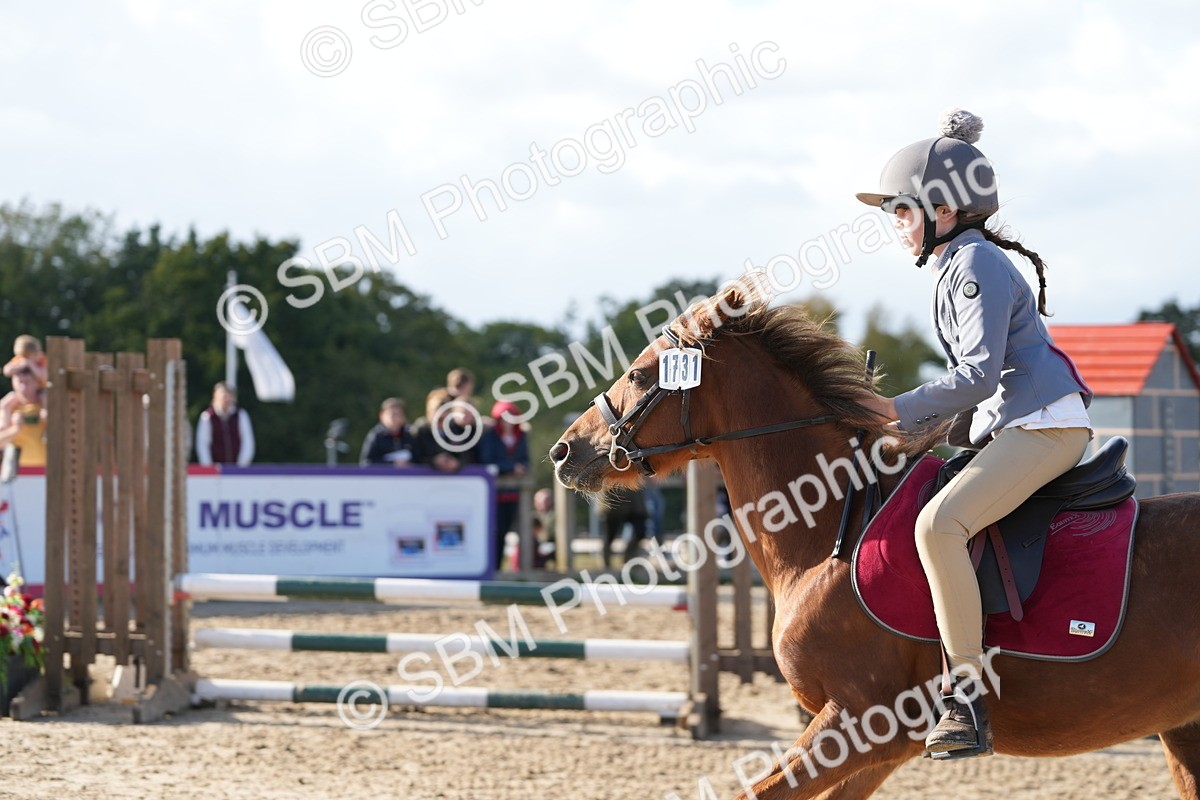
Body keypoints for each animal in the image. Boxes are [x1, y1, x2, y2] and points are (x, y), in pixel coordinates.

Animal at [550, 278, 1200, 799]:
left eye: (638, 375)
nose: (564, 450)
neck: (830, 527)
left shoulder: (861, 722)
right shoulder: (876, 746)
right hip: (1183, 729)